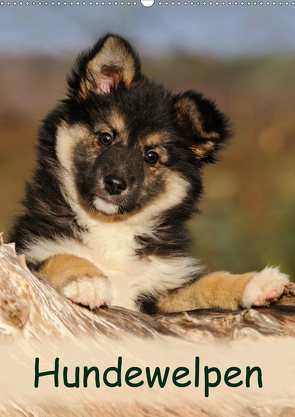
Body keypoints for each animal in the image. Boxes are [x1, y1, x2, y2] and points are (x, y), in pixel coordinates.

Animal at [7, 34, 292, 312]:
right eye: (105, 137)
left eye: (151, 156)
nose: (114, 184)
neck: (111, 226)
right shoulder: (30, 251)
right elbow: (62, 256)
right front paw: (88, 280)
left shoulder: (161, 292)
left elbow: (206, 283)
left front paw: (256, 283)